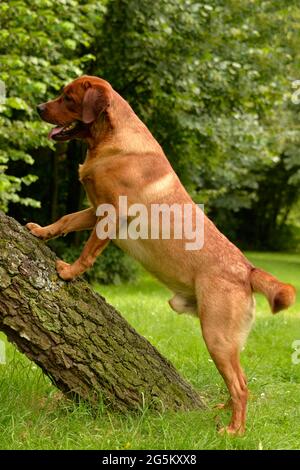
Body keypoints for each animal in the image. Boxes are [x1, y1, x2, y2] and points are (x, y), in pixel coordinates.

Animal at [27, 75, 296, 436]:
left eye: (68, 98)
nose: (39, 107)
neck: (110, 142)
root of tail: (248, 270)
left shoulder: (110, 215)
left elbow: (88, 251)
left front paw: (70, 271)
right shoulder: (94, 210)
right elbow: (66, 220)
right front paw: (41, 231)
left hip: (217, 336)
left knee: (241, 386)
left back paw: (234, 431)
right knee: (237, 383)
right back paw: (225, 412)